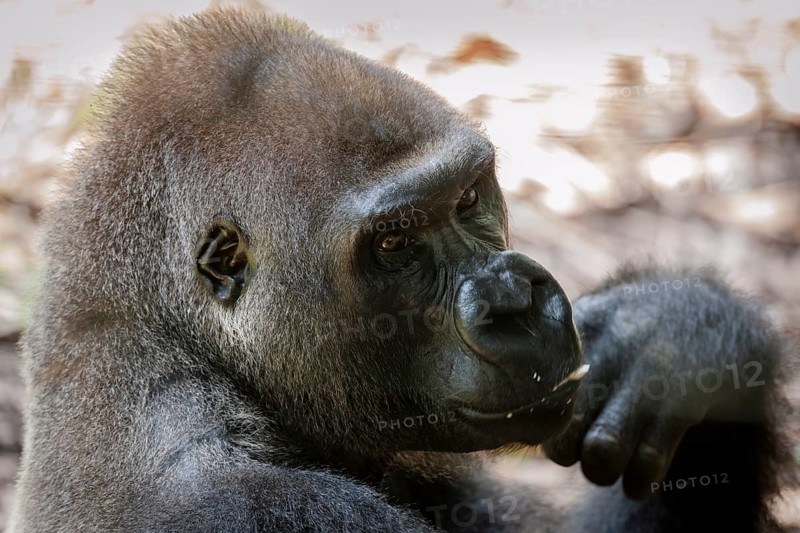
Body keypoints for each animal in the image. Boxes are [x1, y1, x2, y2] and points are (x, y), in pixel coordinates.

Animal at [9, 9, 791, 532]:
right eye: (392, 245)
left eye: (468, 198)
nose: (513, 299)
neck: (170, 343)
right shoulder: (254, 510)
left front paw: (679, 335)